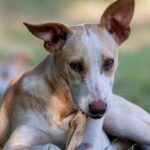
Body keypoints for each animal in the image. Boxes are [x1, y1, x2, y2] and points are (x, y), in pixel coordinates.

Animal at [0, 0, 150, 149]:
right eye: (75, 65)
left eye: (109, 62)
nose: (99, 109)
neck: (62, 107)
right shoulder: (15, 143)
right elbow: (51, 145)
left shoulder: (88, 143)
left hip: (118, 119)